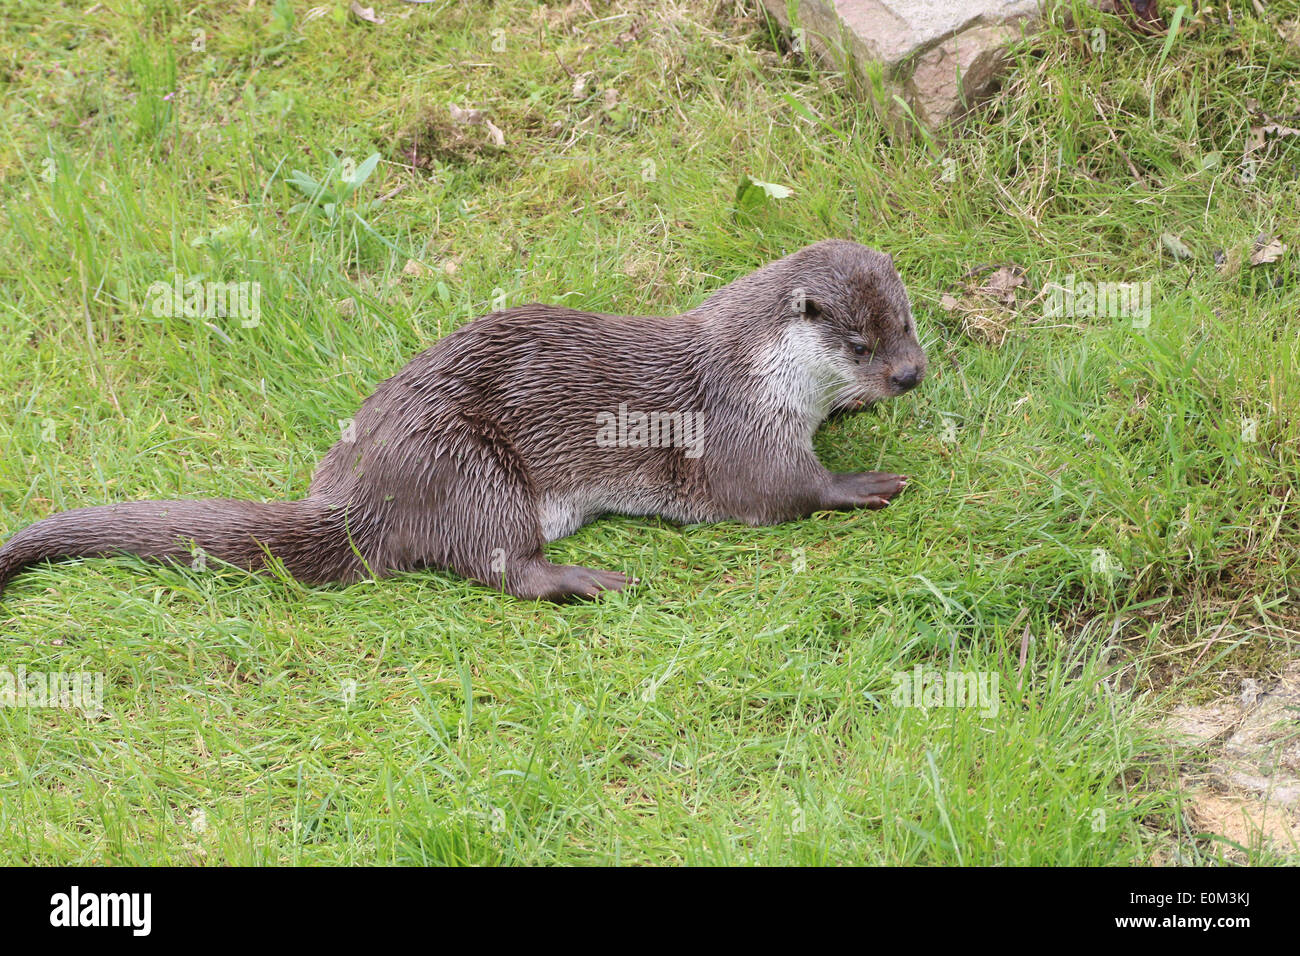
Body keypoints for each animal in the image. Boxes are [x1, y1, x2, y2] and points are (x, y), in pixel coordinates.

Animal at [0, 240, 925, 598]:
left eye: (909, 322)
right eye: (858, 340)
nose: (909, 375)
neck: (759, 366)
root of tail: (360, 494)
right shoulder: (737, 426)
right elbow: (779, 492)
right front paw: (863, 480)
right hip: (468, 466)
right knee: (499, 564)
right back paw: (583, 579)